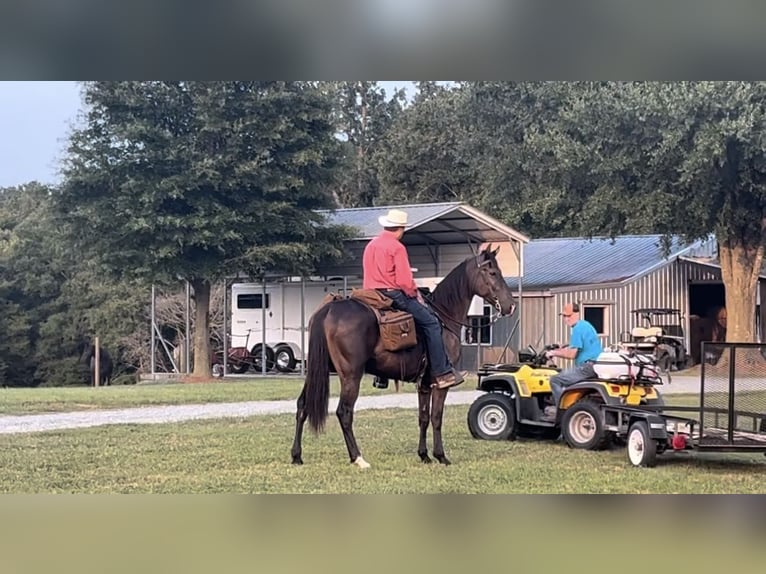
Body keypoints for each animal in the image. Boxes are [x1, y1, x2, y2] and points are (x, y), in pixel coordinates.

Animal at [292, 246, 520, 468]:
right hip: (351, 375)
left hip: (317, 371)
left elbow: (423, 418)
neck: (444, 317)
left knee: (302, 405)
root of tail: (328, 310)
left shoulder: (424, 384)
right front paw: (441, 456)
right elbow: (436, 417)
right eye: (493, 273)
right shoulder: (440, 384)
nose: (511, 305)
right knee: (344, 412)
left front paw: (424, 455)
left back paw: (297, 456)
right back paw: (358, 458)